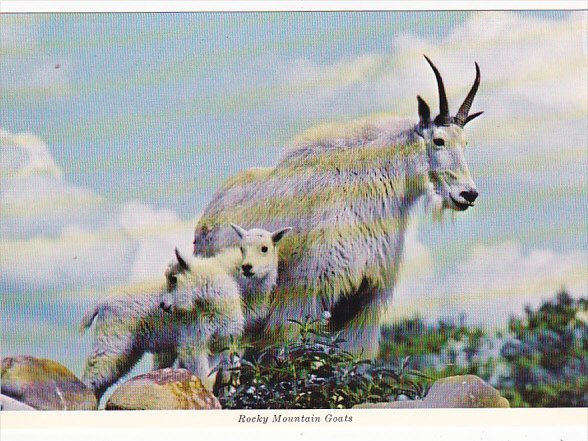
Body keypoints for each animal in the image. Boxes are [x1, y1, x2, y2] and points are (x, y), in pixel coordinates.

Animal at [193, 55, 482, 358]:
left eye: (465, 143)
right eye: (438, 140)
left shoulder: (362, 305)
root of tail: (206, 219)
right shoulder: (300, 304)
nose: (468, 194)